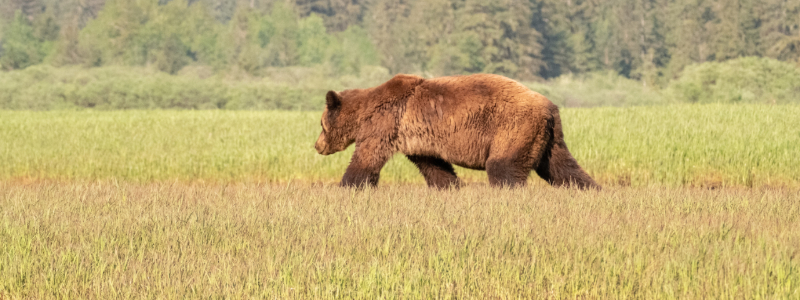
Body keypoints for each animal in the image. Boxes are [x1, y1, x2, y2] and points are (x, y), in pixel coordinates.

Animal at [312, 73, 600, 189]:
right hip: (548, 137)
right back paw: (591, 189)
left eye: (321, 124)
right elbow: (435, 166)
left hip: (513, 127)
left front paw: (348, 186)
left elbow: (366, 159)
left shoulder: (385, 124)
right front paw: (450, 186)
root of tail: (550, 106)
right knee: (562, 167)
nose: (317, 145)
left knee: (504, 167)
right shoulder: (418, 139)